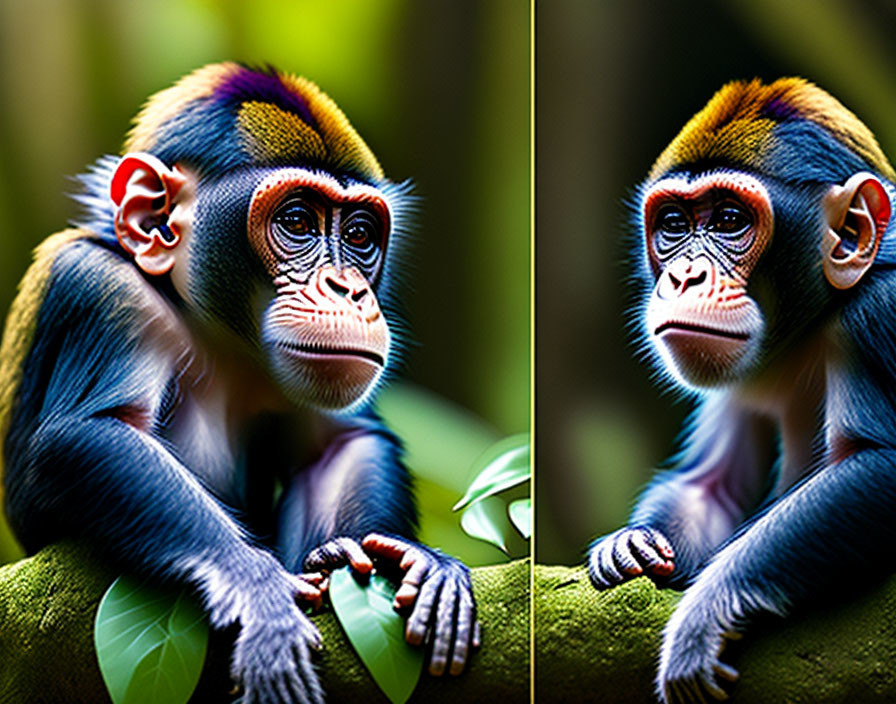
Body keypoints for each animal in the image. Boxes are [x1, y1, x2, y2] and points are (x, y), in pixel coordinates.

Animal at [0, 62, 480, 704]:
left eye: (359, 234)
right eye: (297, 221)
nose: (349, 289)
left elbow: (337, 445)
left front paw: (409, 562)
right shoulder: (99, 289)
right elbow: (93, 431)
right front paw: (256, 586)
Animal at [588, 78, 896, 704]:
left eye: (730, 218)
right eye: (674, 224)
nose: (684, 276)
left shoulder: (879, 309)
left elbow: (875, 464)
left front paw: (704, 613)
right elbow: (712, 485)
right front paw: (631, 543)